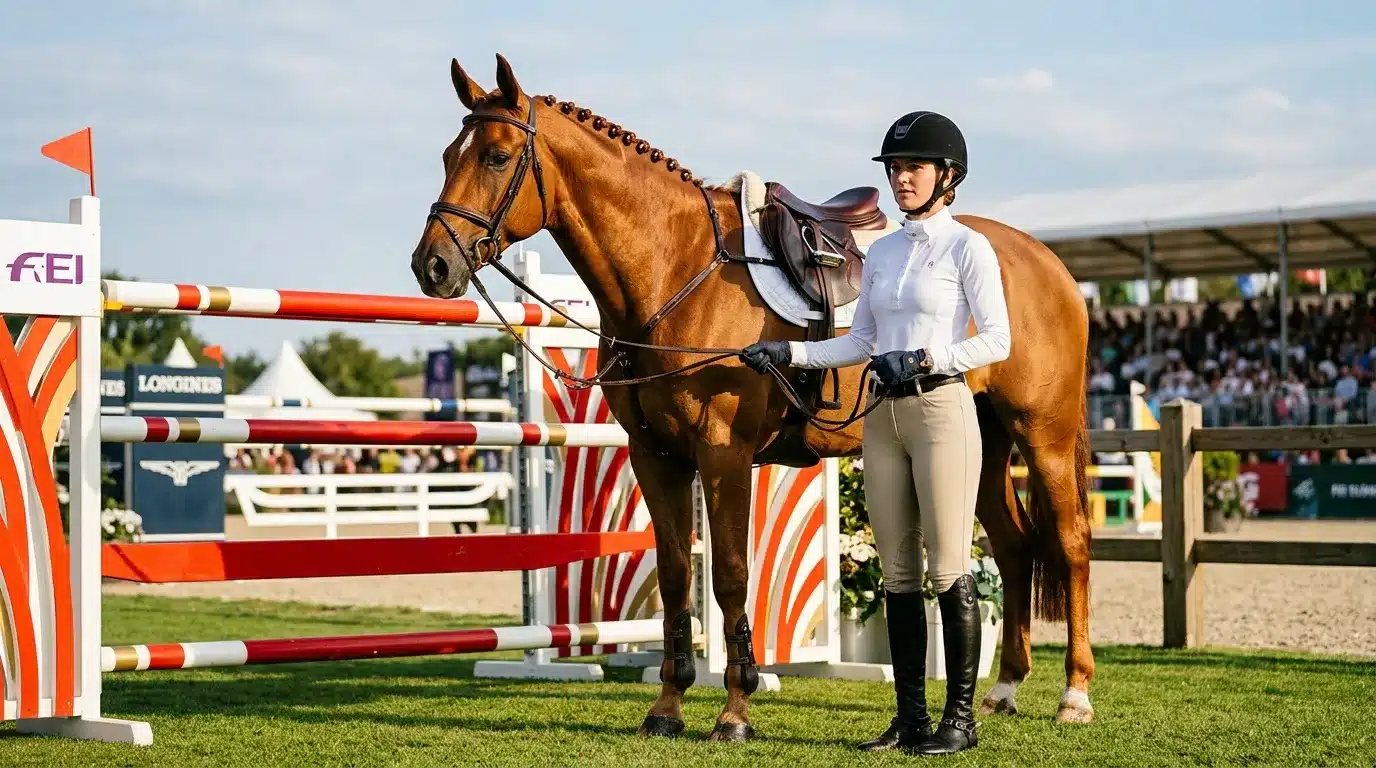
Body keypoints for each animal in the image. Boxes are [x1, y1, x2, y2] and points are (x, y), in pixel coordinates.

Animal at [409, 53, 1095, 740]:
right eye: (444, 156)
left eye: (497, 157)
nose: (431, 266)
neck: (676, 269)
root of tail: (1046, 262)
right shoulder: (656, 457)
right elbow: (677, 575)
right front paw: (667, 707)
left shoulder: (724, 455)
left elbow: (733, 576)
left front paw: (735, 709)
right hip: (982, 441)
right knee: (1013, 546)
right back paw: (1005, 687)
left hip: (1043, 435)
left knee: (1069, 544)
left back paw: (1074, 695)